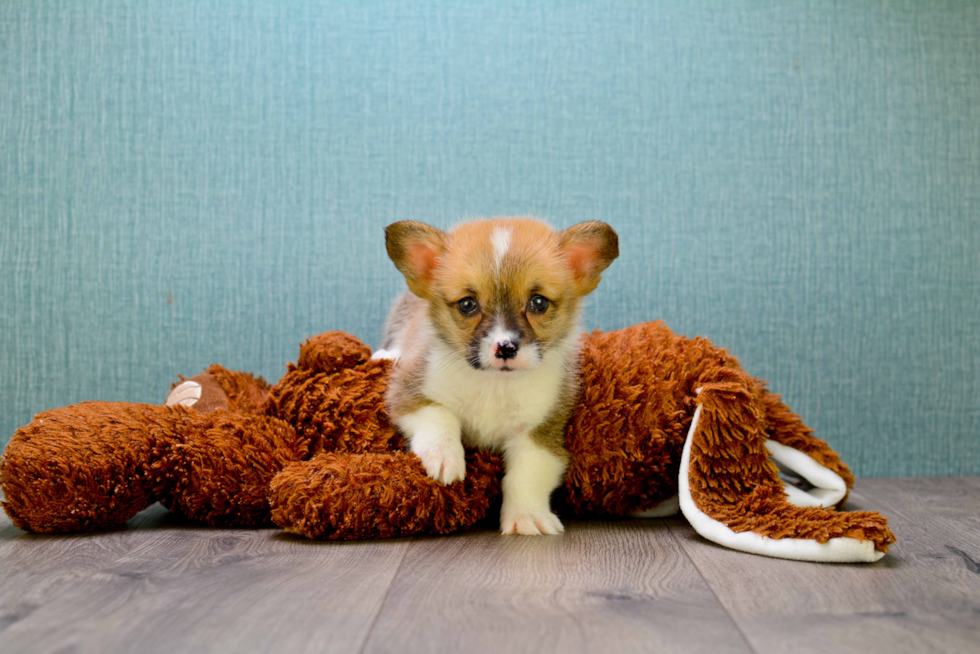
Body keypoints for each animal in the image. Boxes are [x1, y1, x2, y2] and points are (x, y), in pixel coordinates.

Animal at [378, 218, 620, 536]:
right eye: (467, 304)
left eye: (538, 302)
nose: (505, 347)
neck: (495, 385)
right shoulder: (407, 391)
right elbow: (439, 415)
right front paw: (444, 457)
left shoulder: (539, 433)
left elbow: (527, 475)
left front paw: (527, 517)